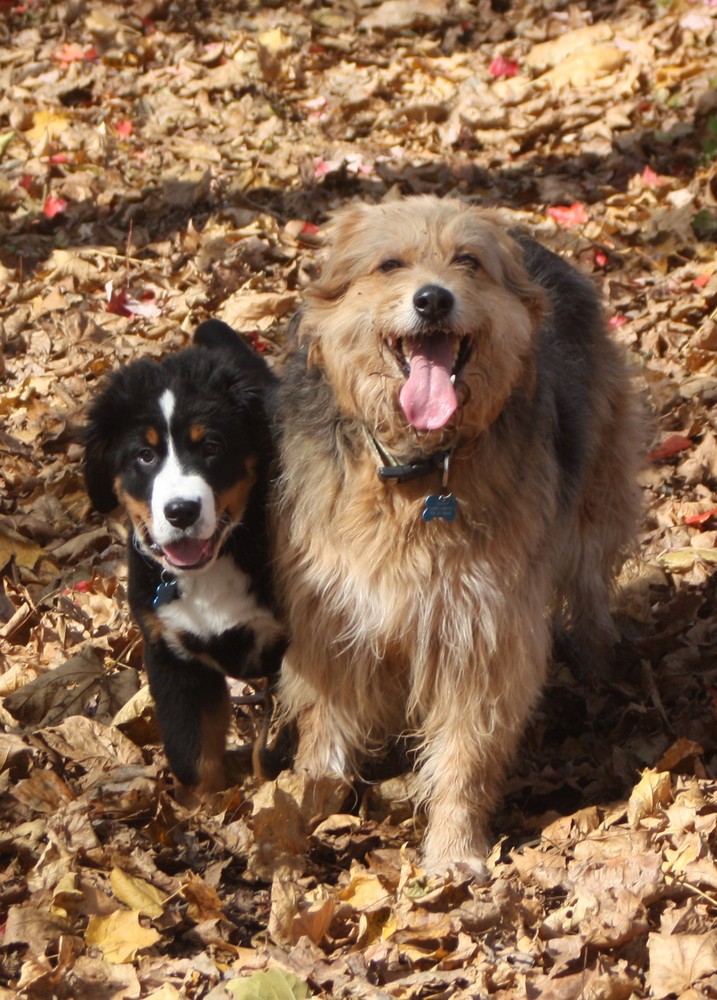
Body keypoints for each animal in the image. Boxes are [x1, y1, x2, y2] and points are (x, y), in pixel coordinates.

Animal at [84, 320, 286, 796]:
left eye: (211, 446)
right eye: (145, 455)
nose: (181, 511)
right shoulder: (171, 654)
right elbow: (192, 753)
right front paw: (207, 808)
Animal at [270, 197, 644, 884]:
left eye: (468, 261)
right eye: (390, 264)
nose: (433, 300)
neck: (415, 472)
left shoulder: (481, 631)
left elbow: (466, 757)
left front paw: (453, 850)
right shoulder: (332, 614)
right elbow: (325, 731)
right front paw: (300, 810)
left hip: (594, 495)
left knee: (589, 585)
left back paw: (600, 665)